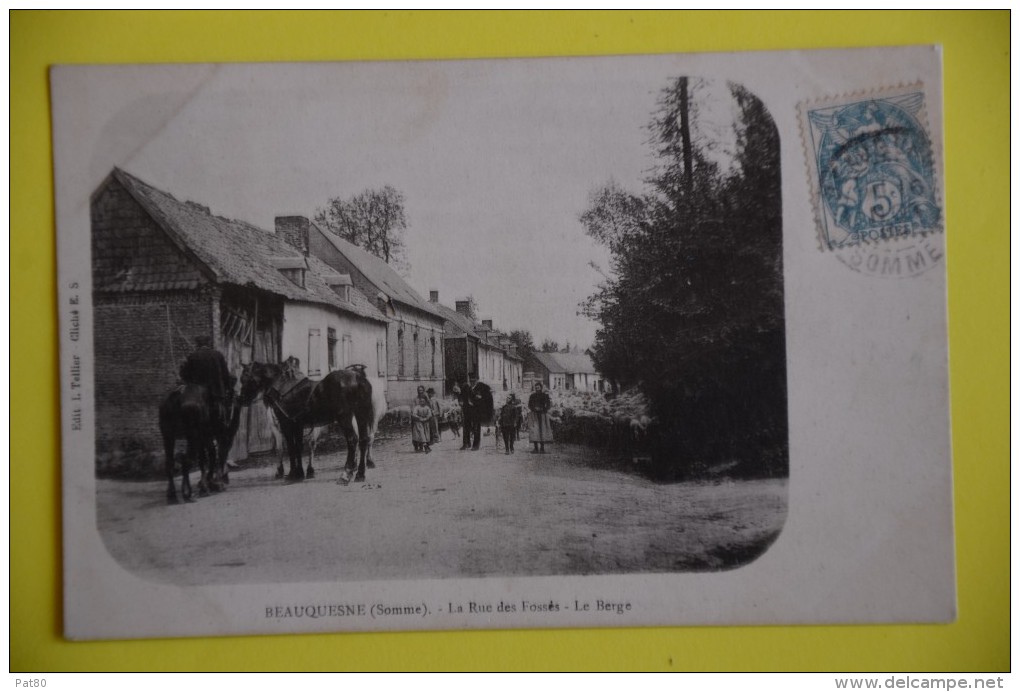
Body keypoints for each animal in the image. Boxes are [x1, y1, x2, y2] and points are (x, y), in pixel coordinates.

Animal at [238, 365, 383, 485]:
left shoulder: (287, 425)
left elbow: (291, 448)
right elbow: (298, 447)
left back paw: (345, 475)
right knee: (364, 440)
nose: (241, 399)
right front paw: (299, 473)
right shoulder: (298, 425)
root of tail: (358, 377)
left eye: (245, 378)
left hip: (345, 418)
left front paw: (292, 474)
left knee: (353, 440)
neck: (282, 387)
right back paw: (360, 474)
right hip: (360, 415)